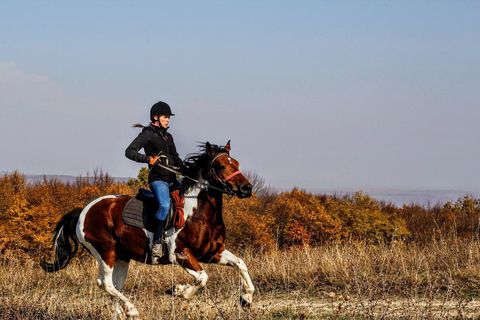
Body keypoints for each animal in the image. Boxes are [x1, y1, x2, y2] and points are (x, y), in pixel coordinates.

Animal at [41, 141, 255, 318]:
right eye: (220, 166)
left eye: (236, 163)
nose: (246, 188)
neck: (198, 211)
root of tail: (83, 211)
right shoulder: (180, 254)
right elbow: (202, 277)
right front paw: (179, 291)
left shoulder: (212, 252)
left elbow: (241, 264)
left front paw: (246, 299)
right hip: (105, 252)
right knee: (106, 283)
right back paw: (132, 309)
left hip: (122, 257)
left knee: (115, 286)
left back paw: (122, 313)